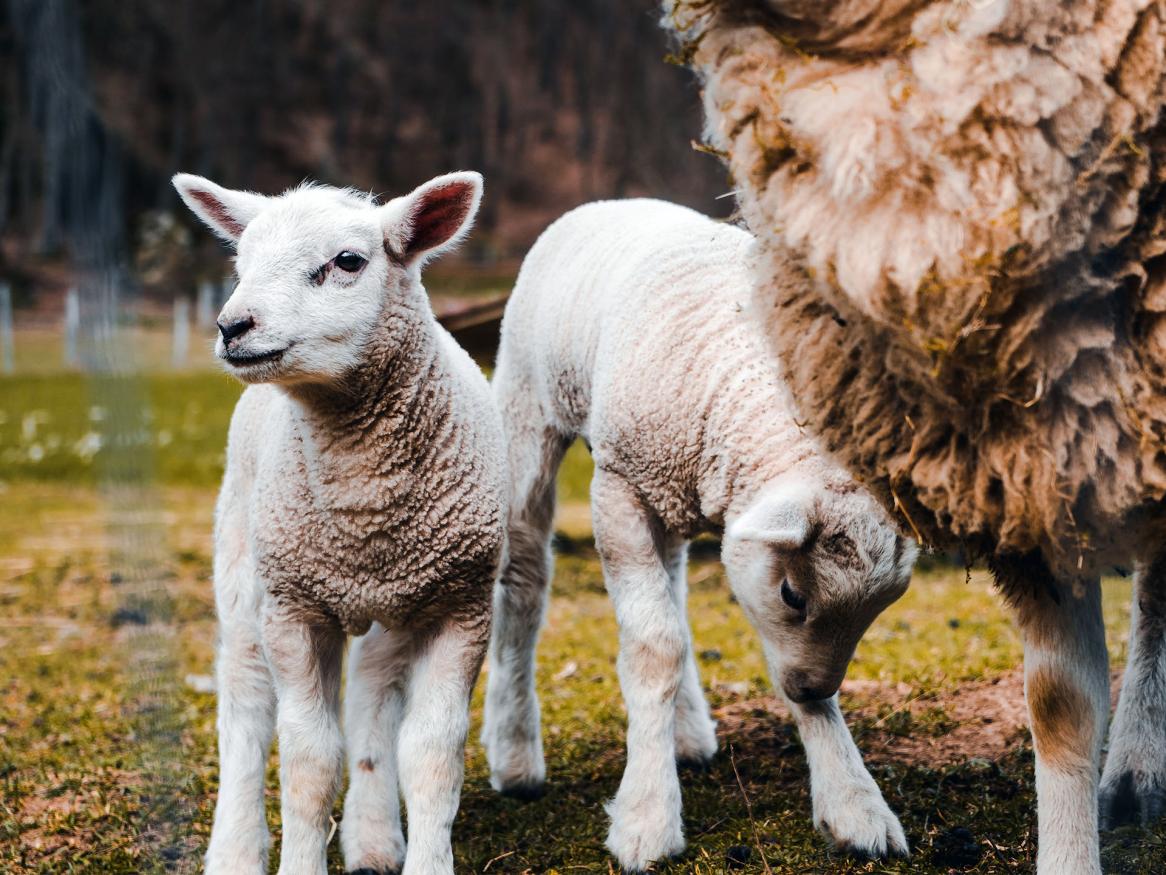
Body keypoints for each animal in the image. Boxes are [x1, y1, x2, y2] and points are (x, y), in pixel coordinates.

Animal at [172, 171, 506, 875]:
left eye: (348, 261)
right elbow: (308, 758)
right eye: (241, 264)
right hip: (245, 566)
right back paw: (235, 850)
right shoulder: (294, 609)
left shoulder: (461, 605)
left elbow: (432, 755)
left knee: (373, 696)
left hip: (396, 605)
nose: (232, 325)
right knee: (244, 704)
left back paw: (374, 839)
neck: (362, 506)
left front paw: (425, 859)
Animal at [479, 198, 916, 872]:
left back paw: (684, 733)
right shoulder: (620, 489)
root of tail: (610, 203)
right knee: (525, 578)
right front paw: (647, 817)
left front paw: (853, 803)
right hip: (530, 414)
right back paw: (516, 757)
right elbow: (654, 647)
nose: (812, 684)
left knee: (672, 589)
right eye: (794, 594)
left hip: (665, 489)